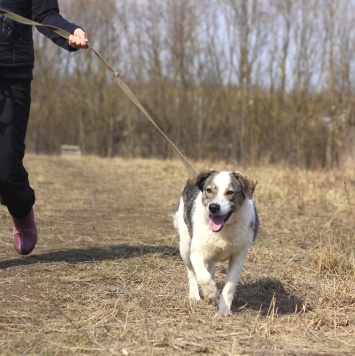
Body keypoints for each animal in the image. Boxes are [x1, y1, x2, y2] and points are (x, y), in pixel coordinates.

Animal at [175, 170, 260, 318]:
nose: (214, 207)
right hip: (185, 245)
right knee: (191, 271)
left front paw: (223, 310)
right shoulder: (196, 253)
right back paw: (194, 296)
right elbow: (203, 277)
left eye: (230, 192)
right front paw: (212, 295)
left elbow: (229, 286)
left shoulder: (239, 255)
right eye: (209, 190)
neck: (223, 229)